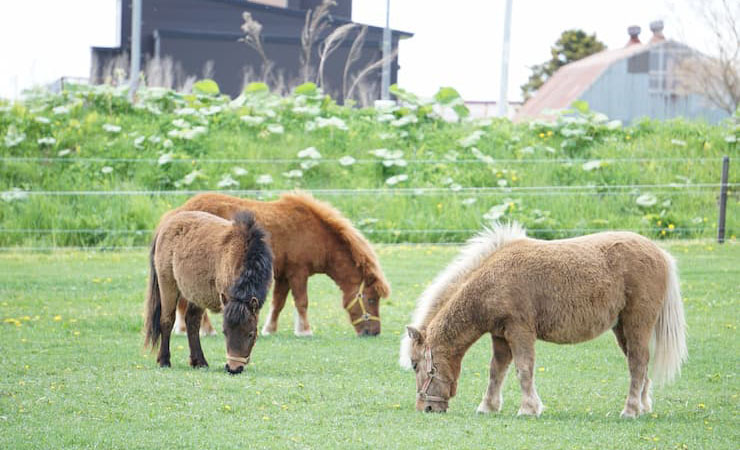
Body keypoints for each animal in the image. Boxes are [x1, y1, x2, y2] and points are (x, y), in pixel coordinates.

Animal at [143, 211, 274, 376]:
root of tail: (166, 223)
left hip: (196, 294)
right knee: (167, 320)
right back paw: (164, 361)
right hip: (168, 285)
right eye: (225, 332)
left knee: (192, 322)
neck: (243, 251)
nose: (233, 368)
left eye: (251, 334)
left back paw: (199, 362)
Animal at [169, 192, 394, 336]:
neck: (317, 233)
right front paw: (305, 330)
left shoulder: (284, 275)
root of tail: (180, 212)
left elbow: (278, 303)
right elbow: (302, 302)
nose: (374, 332)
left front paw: (269, 329)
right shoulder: (298, 272)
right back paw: (207, 330)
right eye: (371, 300)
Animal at [398, 224, 688, 418]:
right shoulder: (500, 336)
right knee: (640, 365)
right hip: (622, 329)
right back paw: (642, 407)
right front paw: (488, 407)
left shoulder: (520, 331)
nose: (427, 407)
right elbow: (496, 371)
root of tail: (660, 253)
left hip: (637, 324)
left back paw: (629, 410)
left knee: (637, 364)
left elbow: (524, 369)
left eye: (415, 365)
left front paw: (528, 409)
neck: (492, 279)